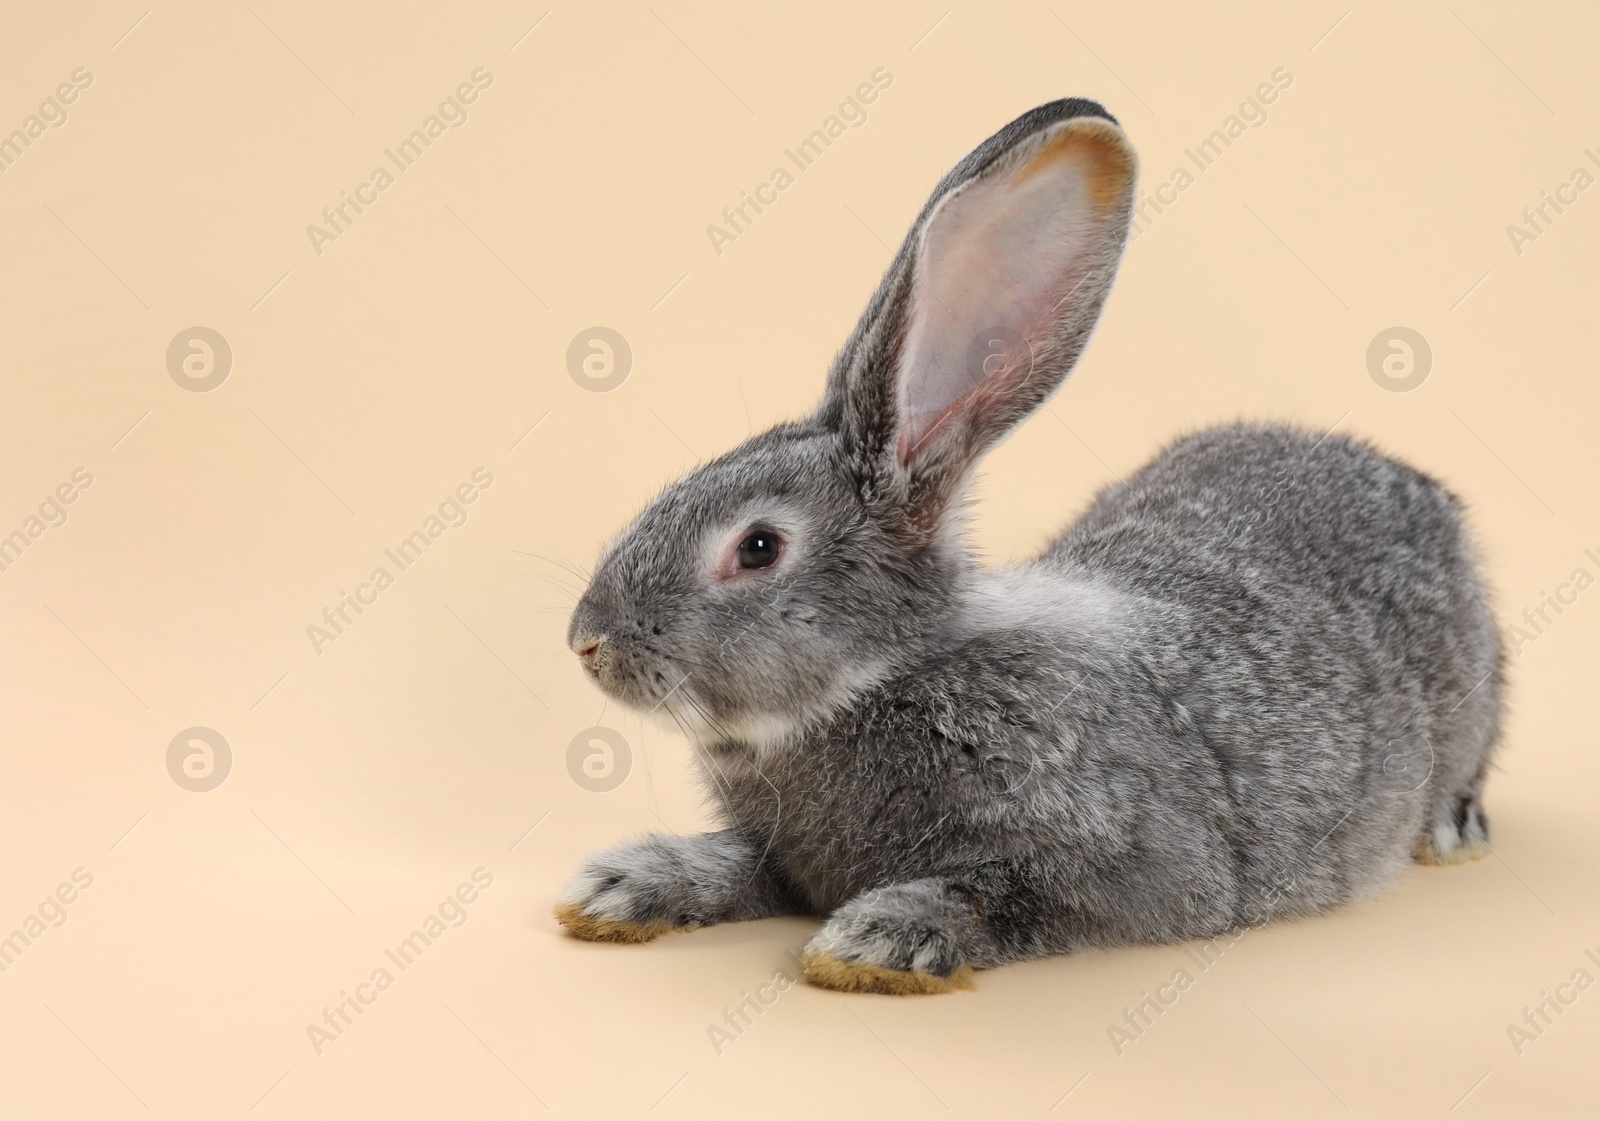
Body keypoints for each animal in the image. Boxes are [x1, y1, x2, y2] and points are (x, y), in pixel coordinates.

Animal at [553, 93, 1497, 985]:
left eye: (757, 548)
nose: (588, 641)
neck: (889, 673)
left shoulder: (1123, 865)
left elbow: (1002, 893)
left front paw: (879, 938)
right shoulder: (782, 853)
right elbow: (736, 864)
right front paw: (622, 886)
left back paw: (1454, 832)